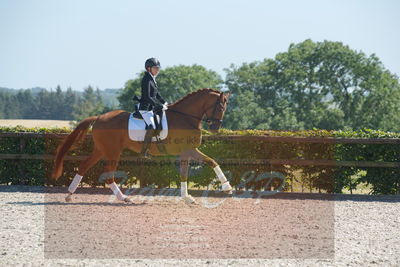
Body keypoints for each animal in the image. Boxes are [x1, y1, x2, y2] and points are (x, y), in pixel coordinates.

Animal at [50, 89, 231, 204]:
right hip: (113, 151)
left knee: (83, 166)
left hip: (101, 150)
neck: (186, 117)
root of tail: (99, 117)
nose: (216, 128)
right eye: (220, 107)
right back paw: (124, 198)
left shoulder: (187, 151)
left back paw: (69, 195)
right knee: (108, 175)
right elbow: (194, 169)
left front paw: (189, 197)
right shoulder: (188, 150)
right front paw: (226, 188)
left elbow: (207, 163)